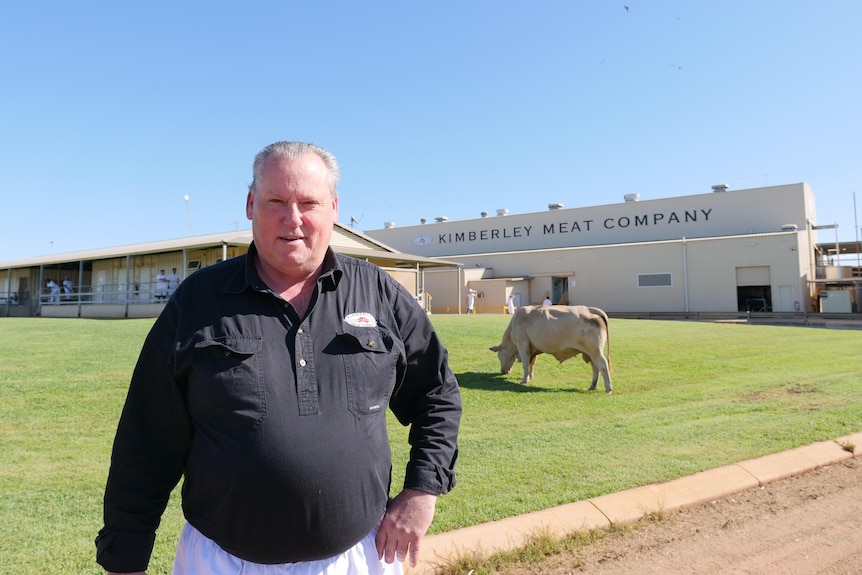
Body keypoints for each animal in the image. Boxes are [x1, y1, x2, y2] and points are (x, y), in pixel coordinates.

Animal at [486, 306, 616, 392]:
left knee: (602, 366)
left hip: (595, 351)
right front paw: (530, 376)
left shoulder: (522, 344)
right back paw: (593, 386)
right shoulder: (533, 348)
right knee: (595, 367)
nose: (503, 371)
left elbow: (525, 364)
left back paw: (608, 388)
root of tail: (591, 309)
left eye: (499, 356)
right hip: (590, 353)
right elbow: (531, 363)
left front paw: (524, 380)